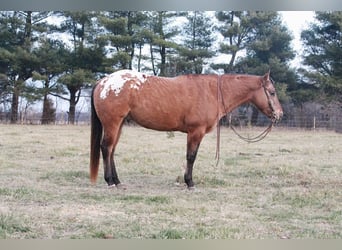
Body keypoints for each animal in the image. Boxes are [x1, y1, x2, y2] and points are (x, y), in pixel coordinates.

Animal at [89, 69, 284, 188]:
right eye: (272, 92)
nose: (279, 114)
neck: (212, 92)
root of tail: (103, 81)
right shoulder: (195, 132)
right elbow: (191, 157)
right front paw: (190, 182)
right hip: (113, 123)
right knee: (106, 148)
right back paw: (110, 181)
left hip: (119, 124)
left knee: (112, 150)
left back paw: (117, 180)